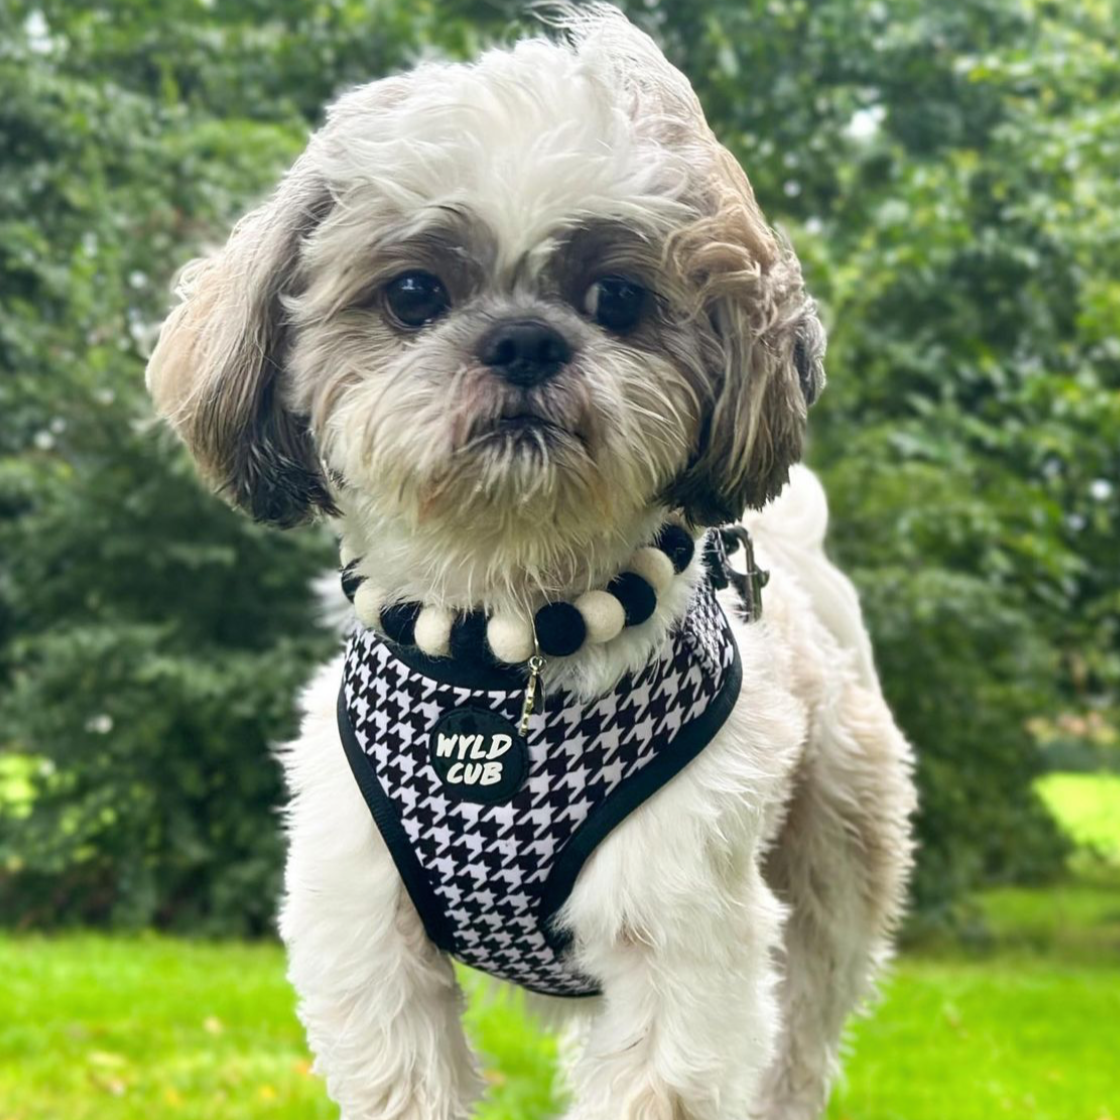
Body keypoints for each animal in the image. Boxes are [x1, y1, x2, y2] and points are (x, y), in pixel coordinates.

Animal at [144, 8, 913, 1120]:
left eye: (618, 297)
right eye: (414, 293)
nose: (521, 339)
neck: (508, 637)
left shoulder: (682, 938)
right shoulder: (365, 927)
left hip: (834, 874)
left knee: (800, 1039)